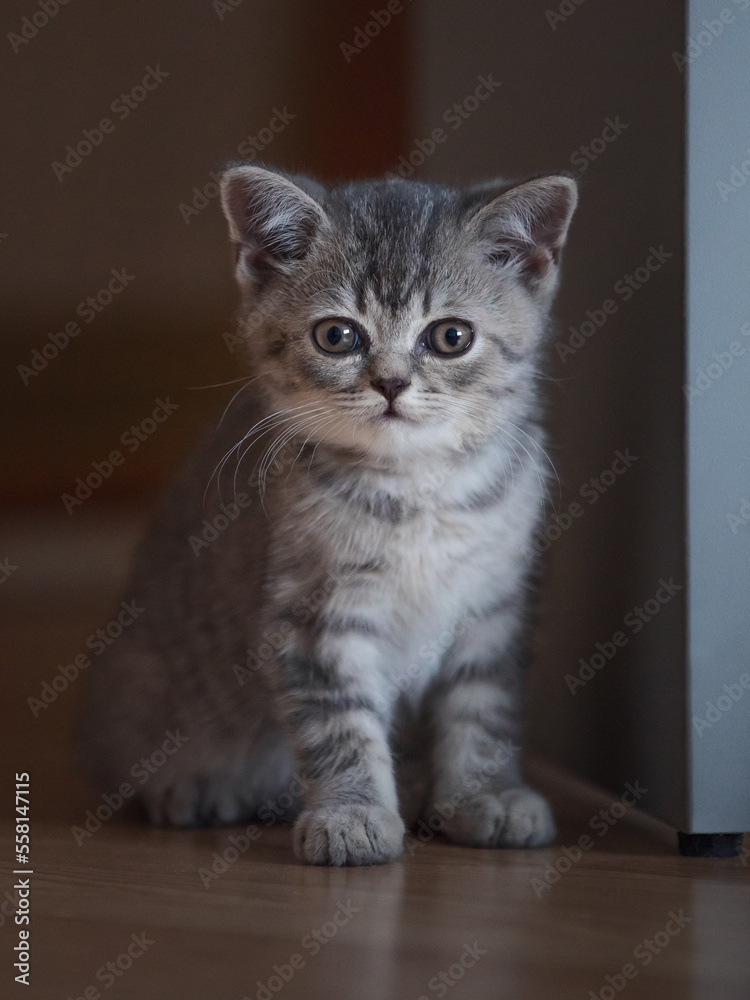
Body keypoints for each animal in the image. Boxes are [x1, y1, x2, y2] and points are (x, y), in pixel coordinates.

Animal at [82, 164, 580, 868]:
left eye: (451, 337)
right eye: (337, 335)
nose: (391, 383)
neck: (415, 489)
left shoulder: (496, 603)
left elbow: (484, 708)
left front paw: (486, 795)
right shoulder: (314, 612)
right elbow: (341, 722)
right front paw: (352, 814)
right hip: (139, 682)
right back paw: (194, 787)